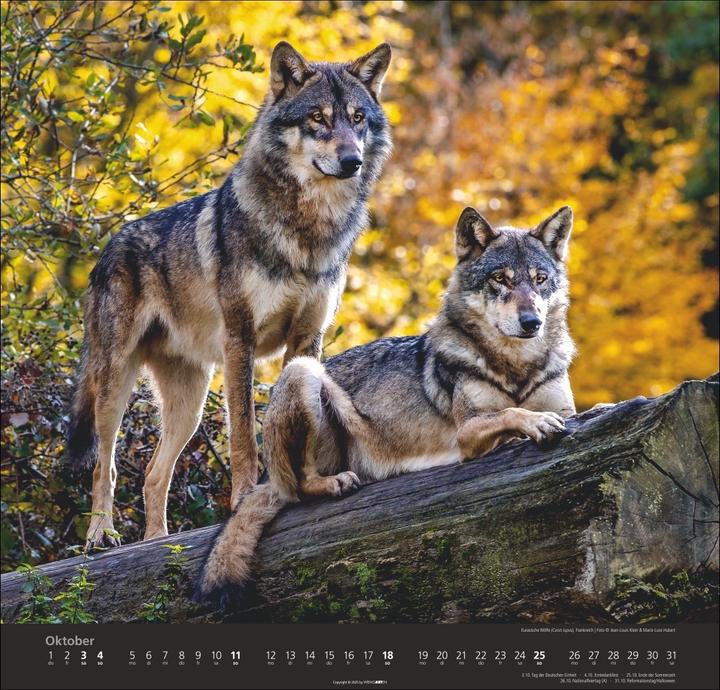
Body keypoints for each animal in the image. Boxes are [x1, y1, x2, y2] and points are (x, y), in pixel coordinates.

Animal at [66, 41, 392, 548]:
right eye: (317, 118)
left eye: (358, 118)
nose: (351, 161)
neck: (308, 228)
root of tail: (107, 249)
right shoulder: (240, 339)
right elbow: (243, 435)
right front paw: (243, 497)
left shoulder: (307, 340)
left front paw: (311, 483)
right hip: (115, 384)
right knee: (106, 466)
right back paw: (102, 535)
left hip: (191, 404)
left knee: (154, 476)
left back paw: (158, 540)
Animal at [197, 204, 577, 599]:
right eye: (500, 279)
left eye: (540, 279)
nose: (531, 322)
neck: (517, 366)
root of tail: (268, 476)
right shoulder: (467, 434)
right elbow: (510, 412)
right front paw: (535, 423)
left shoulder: (568, 408)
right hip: (303, 370)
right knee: (299, 488)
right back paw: (333, 483)